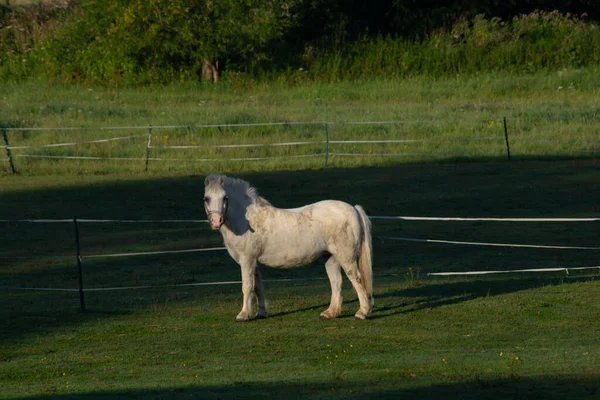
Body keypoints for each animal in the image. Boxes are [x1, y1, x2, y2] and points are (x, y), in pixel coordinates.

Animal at [204, 175, 372, 322]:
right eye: (207, 198)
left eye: (225, 198)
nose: (216, 221)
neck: (247, 220)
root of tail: (353, 209)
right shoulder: (253, 262)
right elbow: (257, 286)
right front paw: (261, 313)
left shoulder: (247, 260)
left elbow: (247, 286)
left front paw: (243, 315)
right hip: (331, 258)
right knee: (336, 282)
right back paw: (330, 313)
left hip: (346, 258)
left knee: (357, 279)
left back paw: (362, 312)